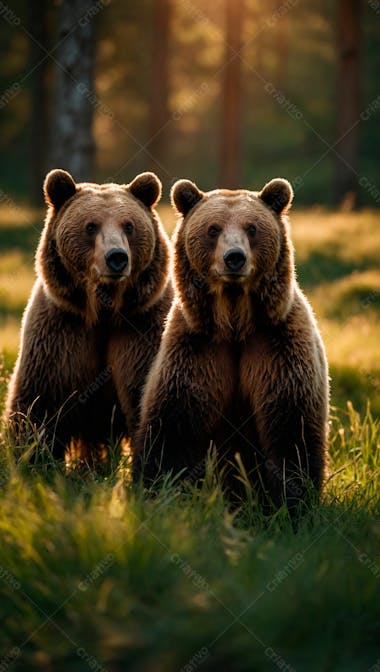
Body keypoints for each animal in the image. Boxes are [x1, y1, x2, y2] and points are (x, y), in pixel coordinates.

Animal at [4, 169, 172, 462]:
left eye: (129, 226)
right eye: (91, 226)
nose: (117, 257)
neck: (104, 310)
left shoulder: (142, 328)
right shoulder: (62, 331)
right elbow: (39, 402)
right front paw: (31, 457)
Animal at [134, 176, 330, 512]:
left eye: (252, 228)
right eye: (213, 229)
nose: (234, 258)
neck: (236, 323)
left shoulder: (277, 344)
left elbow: (291, 427)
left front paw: (292, 504)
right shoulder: (197, 348)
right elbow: (173, 424)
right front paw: (158, 490)